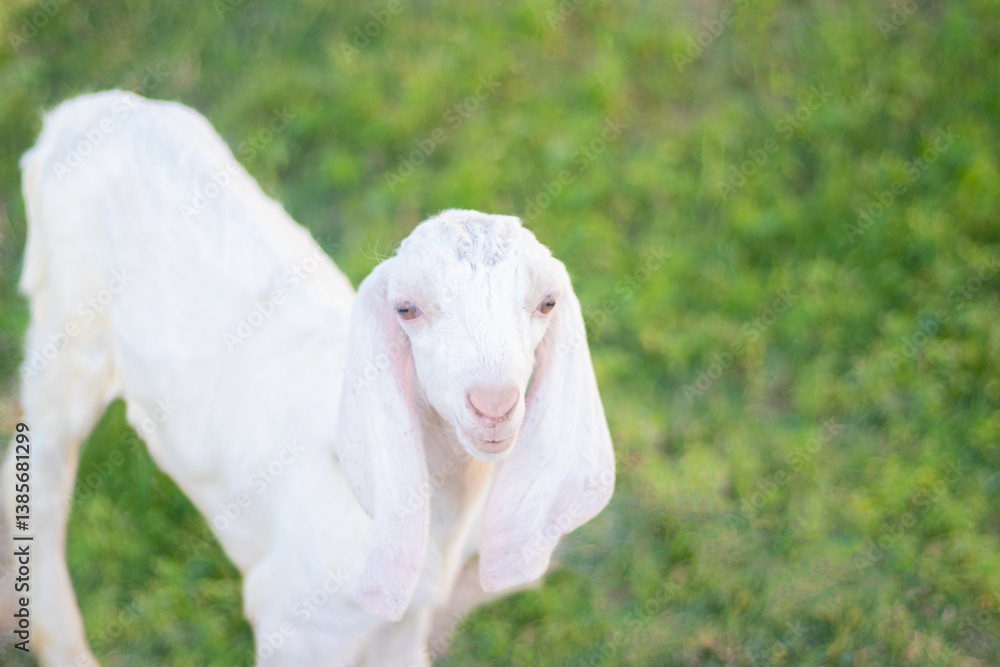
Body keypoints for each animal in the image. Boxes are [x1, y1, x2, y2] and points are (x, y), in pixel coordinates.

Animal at [0, 91, 615, 666]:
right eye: (407, 309)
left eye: (547, 303)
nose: (493, 404)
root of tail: (78, 114)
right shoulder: (295, 622)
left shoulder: (399, 628)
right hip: (68, 332)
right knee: (44, 469)